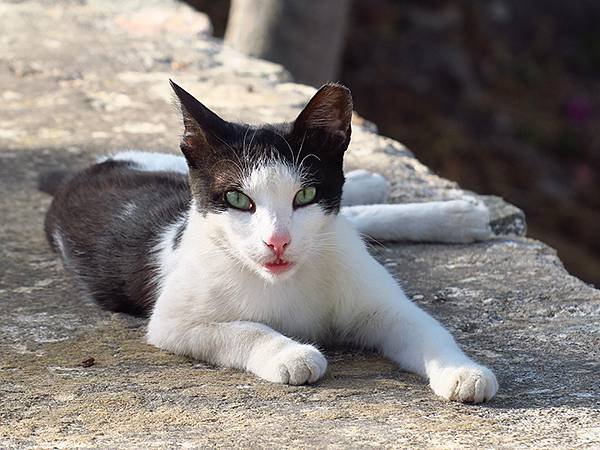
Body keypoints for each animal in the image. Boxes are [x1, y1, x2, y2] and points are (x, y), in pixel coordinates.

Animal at [43, 81, 496, 404]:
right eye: (237, 200)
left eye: (306, 196)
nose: (278, 241)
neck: (286, 283)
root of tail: (88, 170)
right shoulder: (173, 322)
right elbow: (246, 330)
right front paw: (291, 354)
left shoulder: (380, 304)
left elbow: (425, 328)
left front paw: (461, 371)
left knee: (355, 217)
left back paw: (447, 212)